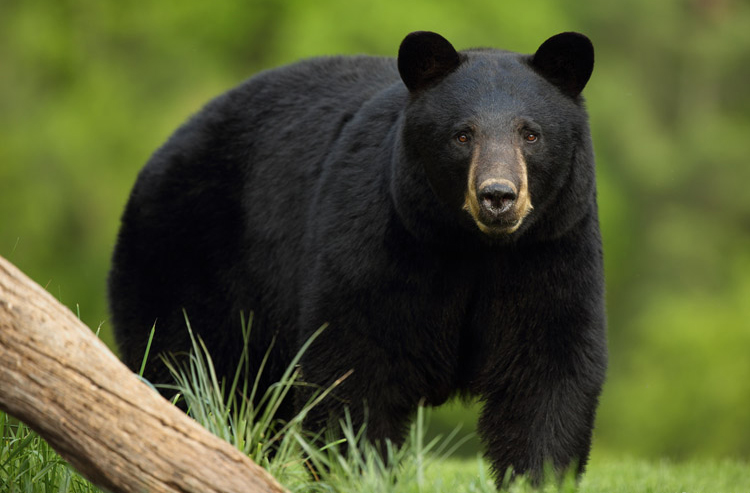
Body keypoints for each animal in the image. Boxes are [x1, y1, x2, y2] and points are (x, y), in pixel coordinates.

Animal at [108, 30, 608, 484]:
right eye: (462, 135)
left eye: (531, 134)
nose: (498, 196)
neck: (472, 246)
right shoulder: (379, 244)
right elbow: (356, 364)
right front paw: (359, 471)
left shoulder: (551, 249)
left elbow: (547, 374)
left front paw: (538, 475)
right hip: (187, 257)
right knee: (188, 368)